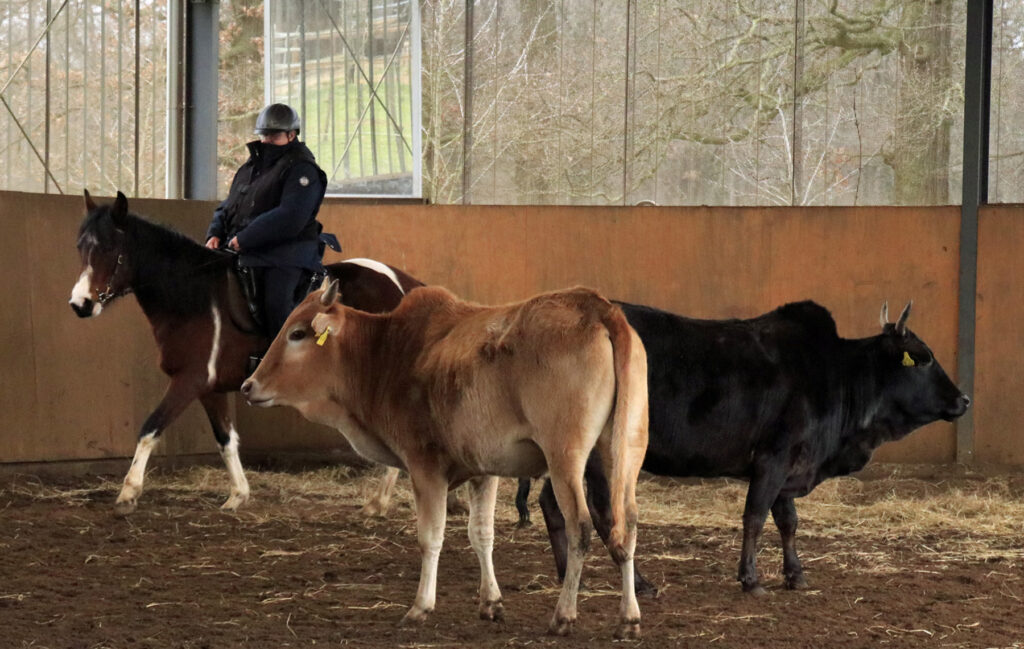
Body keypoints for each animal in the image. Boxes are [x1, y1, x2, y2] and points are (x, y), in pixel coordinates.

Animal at [71, 189, 423, 513]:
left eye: (109, 248)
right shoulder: (209, 387)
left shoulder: (189, 380)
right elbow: (226, 439)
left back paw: (378, 502)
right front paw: (238, 495)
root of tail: (401, 285)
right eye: (81, 247)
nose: (80, 304)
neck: (196, 297)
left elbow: (150, 428)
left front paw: (128, 492)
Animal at [241, 278, 647, 638]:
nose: (248, 386)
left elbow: (430, 537)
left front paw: (420, 607)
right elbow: (481, 534)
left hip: (566, 456)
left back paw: (564, 616)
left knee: (581, 526)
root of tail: (598, 308)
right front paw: (491, 603)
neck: (386, 353)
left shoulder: (425, 467)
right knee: (626, 523)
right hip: (625, 451)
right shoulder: (485, 471)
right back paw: (628, 619)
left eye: (297, 334)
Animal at [536, 300, 966, 593]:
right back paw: (638, 582)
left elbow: (788, 521)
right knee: (603, 512)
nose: (963, 400)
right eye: (922, 359)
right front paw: (751, 579)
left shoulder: (792, 463)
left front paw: (795, 575)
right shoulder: (773, 458)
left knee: (554, 504)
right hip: (604, 454)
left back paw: (567, 574)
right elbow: (755, 517)